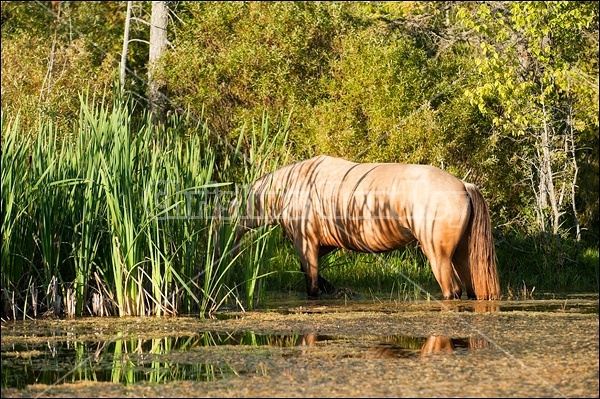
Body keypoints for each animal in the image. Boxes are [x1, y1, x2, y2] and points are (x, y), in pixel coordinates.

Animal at [227, 155, 500, 300]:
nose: (230, 251)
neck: (293, 185)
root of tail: (464, 185)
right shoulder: (324, 244)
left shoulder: (306, 243)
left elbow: (311, 284)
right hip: (462, 256)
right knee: (471, 290)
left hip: (439, 256)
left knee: (451, 291)